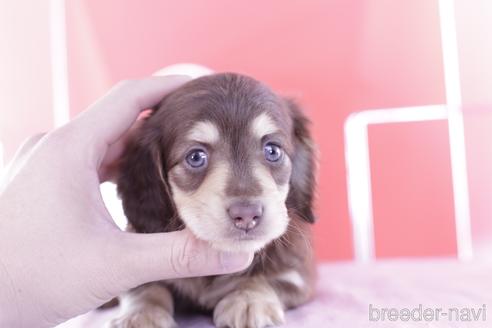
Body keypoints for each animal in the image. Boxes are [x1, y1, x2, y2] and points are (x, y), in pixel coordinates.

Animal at [110, 73, 318, 326]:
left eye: (273, 151)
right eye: (196, 157)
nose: (246, 215)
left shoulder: (298, 274)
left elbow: (263, 277)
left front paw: (248, 300)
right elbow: (144, 287)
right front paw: (140, 314)